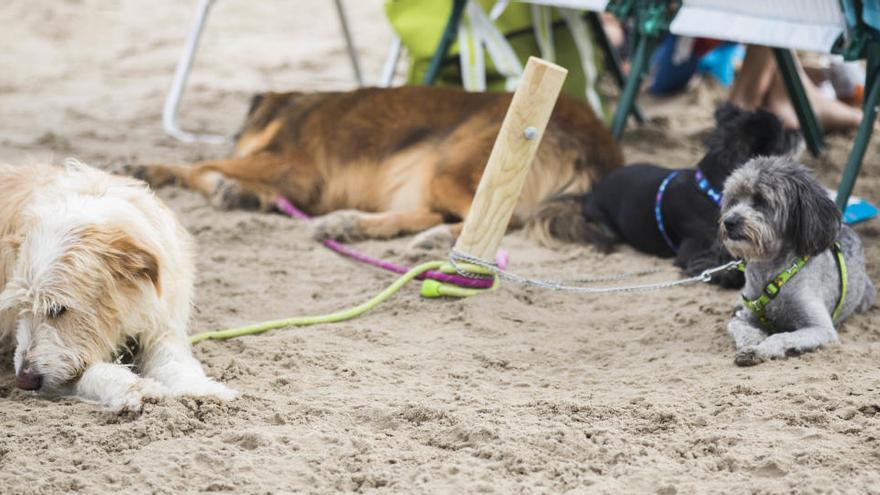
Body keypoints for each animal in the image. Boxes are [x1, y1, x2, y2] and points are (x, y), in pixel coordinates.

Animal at [0, 159, 235, 410]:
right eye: (19, 308)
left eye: (58, 309)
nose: (25, 381)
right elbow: (96, 373)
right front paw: (135, 388)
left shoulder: (163, 324)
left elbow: (174, 360)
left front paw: (200, 388)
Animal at [127, 85, 624, 252]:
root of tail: (597, 141)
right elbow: (210, 166)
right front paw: (229, 189)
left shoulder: (294, 168)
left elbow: (204, 161)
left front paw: (155, 168)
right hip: (425, 172)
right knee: (433, 212)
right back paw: (350, 225)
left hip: (455, 163)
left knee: (498, 222)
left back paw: (433, 240)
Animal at [552, 105, 804, 290]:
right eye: (784, 135)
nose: (799, 132)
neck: (708, 189)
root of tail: (591, 192)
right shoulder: (693, 251)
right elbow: (710, 265)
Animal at [720, 157, 872, 366]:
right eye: (734, 200)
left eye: (761, 200)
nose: (729, 221)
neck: (773, 273)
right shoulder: (744, 317)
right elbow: (740, 327)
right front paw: (753, 342)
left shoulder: (821, 329)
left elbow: (781, 335)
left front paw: (761, 350)